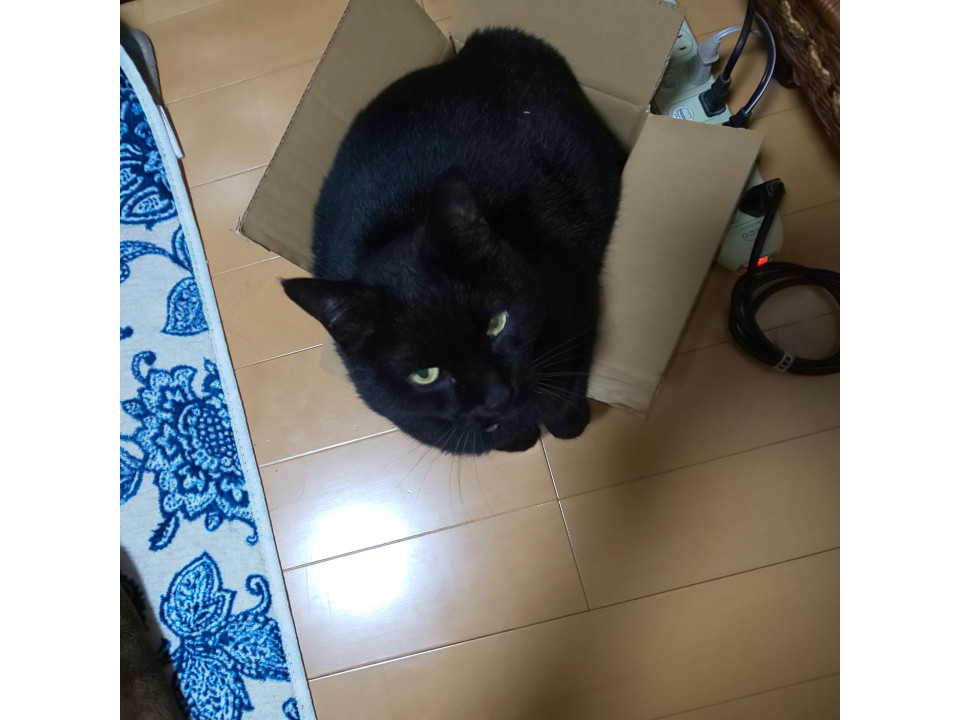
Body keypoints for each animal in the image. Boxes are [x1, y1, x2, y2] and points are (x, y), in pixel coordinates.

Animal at [283, 28, 625, 455]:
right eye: (424, 375)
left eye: (497, 324)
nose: (497, 396)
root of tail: (471, 53)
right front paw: (520, 439)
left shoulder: (573, 294)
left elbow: (564, 390)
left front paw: (568, 424)